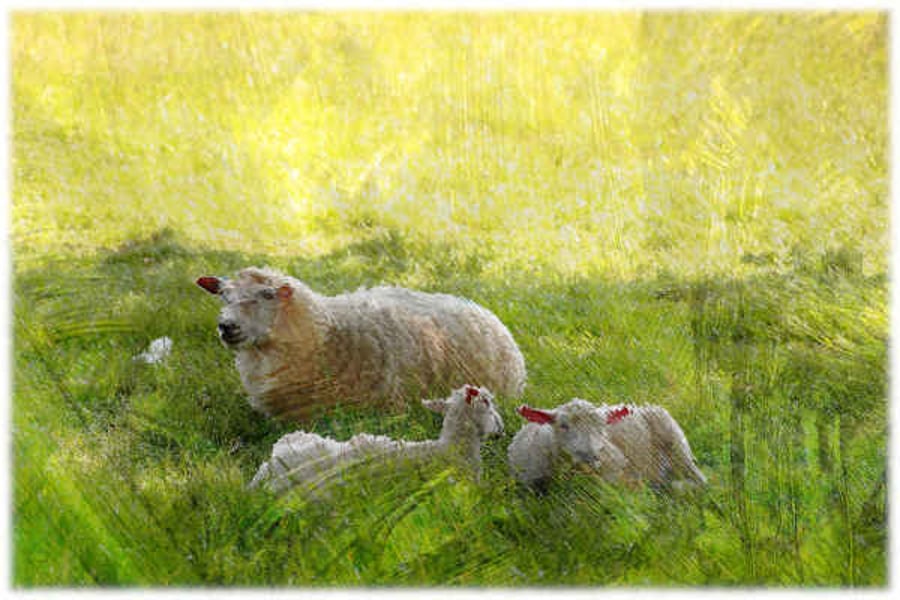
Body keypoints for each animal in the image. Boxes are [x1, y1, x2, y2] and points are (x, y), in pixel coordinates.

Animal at [507, 398, 706, 492]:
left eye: (602, 427)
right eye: (563, 425)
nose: (591, 456)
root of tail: (639, 406)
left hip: (676, 442)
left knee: (702, 482)